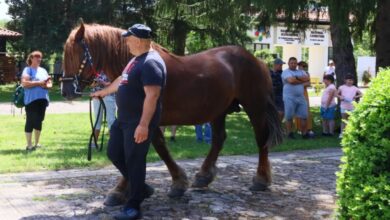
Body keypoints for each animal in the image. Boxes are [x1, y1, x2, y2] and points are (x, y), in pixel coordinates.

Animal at [61, 23, 282, 205]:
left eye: (75, 54)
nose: (66, 90)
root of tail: (257, 60)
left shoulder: (147, 121)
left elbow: (151, 149)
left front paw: (175, 183)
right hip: (218, 110)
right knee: (219, 139)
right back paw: (203, 176)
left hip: (255, 107)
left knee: (261, 139)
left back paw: (261, 179)